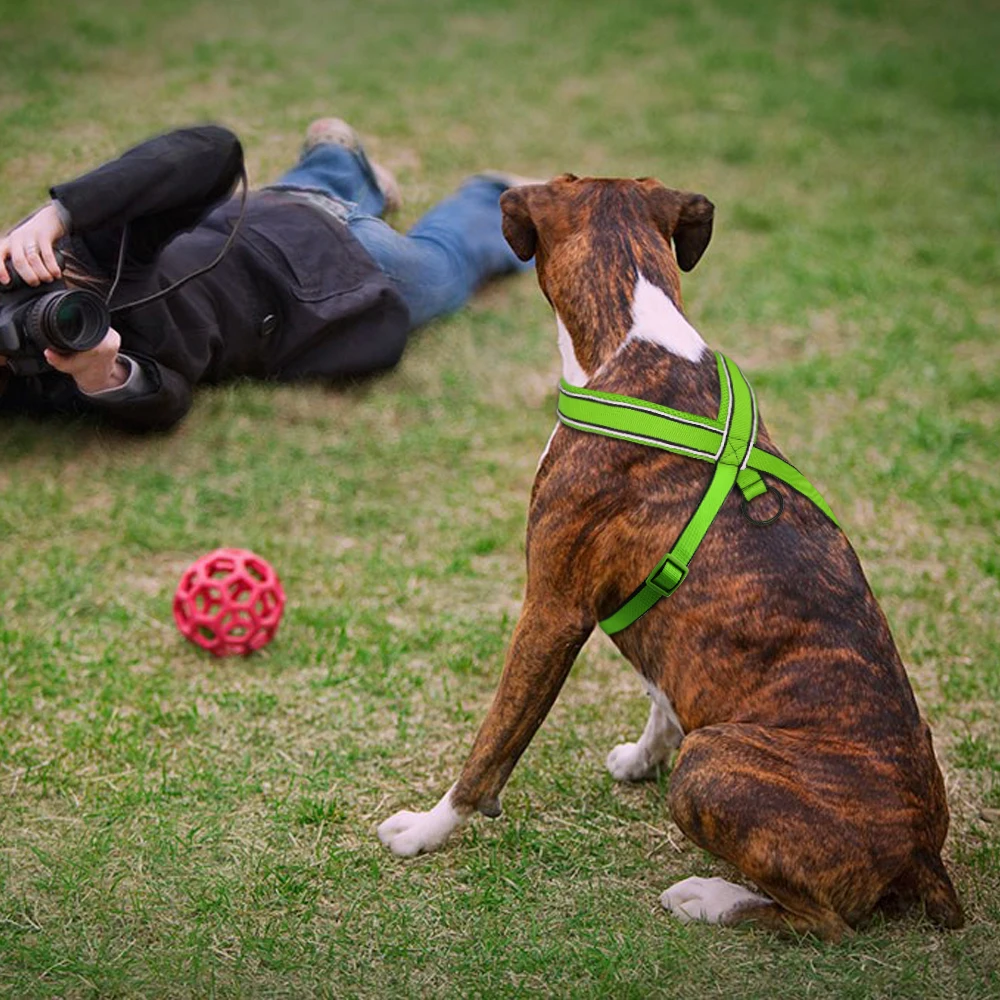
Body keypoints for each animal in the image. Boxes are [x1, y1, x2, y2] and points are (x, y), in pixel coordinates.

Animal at [376, 176, 960, 940]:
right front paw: (642, 754)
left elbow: (492, 745)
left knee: (824, 922)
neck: (638, 336)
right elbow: (660, 684)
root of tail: (924, 854)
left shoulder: (551, 609)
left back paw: (709, 897)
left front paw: (427, 829)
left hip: (710, 764)